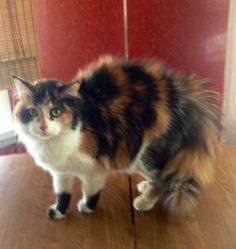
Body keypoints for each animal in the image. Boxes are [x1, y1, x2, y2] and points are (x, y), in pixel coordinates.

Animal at [12, 55, 219, 219]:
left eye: (56, 111)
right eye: (32, 112)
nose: (43, 127)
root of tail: (185, 95)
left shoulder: (94, 167)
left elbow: (91, 192)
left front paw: (86, 208)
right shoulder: (60, 172)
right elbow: (62, 193)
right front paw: (59, 211)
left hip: (147, 154)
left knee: (161, 179)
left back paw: (144, 201)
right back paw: (145, 187)